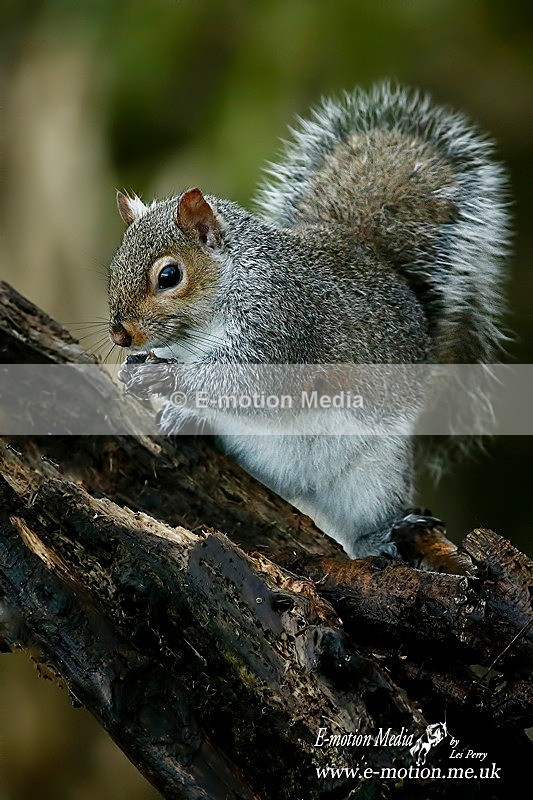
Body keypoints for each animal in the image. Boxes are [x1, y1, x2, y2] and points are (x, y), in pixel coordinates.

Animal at [107, 83, 509, 573]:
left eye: (169, 276)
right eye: (113, 265)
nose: (120, 335)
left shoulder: (284, 322)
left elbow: (249, 385)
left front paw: (164, 378)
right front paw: (139, 374)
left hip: (374, 474)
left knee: (363, 523)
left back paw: (379, 538)